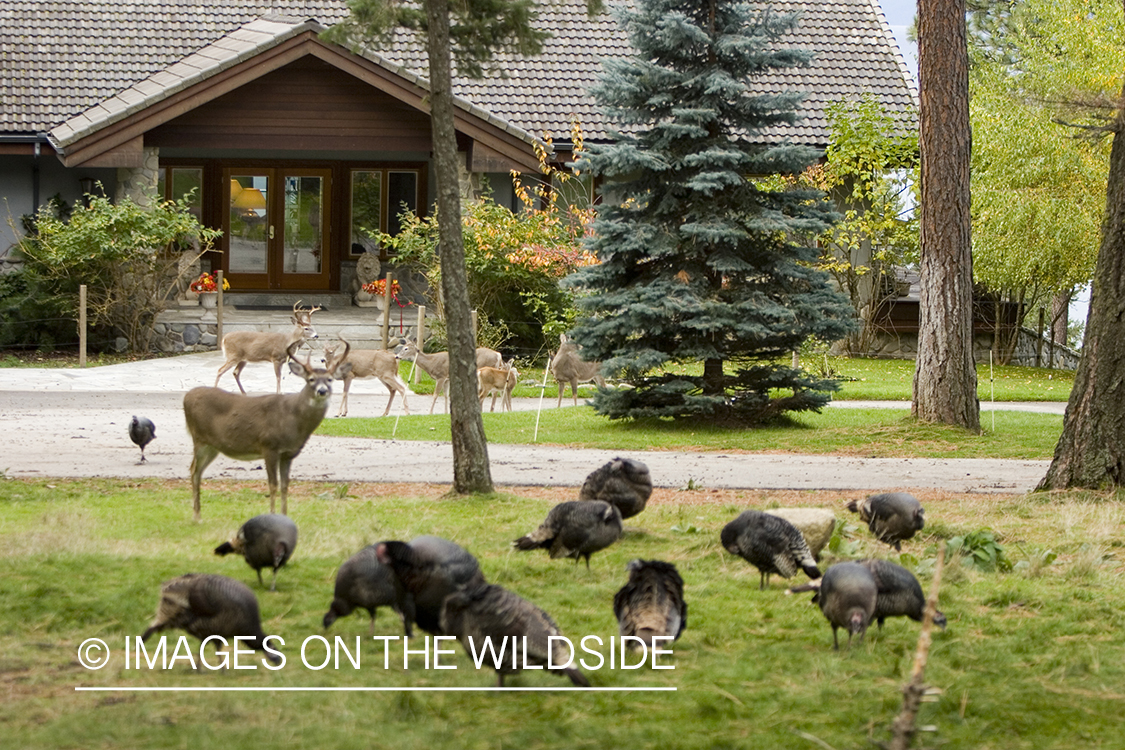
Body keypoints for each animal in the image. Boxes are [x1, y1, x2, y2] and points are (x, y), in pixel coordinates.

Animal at [184, 339, 351, 521]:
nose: (322, 391)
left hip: (212, 446)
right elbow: (273, 484)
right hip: (199, 438)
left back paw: (198, 514)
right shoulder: (269, 446)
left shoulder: (288, 453)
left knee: (197, 471)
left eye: (330, 379)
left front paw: (285, 515)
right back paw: (196, 517)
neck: (293, 420)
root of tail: (186, 397)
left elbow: (285, 485)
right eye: (311, 379)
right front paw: (272, 515)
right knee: (193, 470)